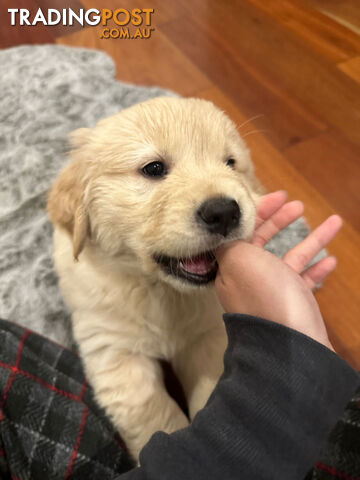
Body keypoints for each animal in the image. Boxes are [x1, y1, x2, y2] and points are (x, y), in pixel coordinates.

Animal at [47, 96, 262, 458]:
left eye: (231, 163)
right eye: (153, 169)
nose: (224, 212)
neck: (160, 290)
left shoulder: (208, 336)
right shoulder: (114, 349)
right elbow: (153, 415)